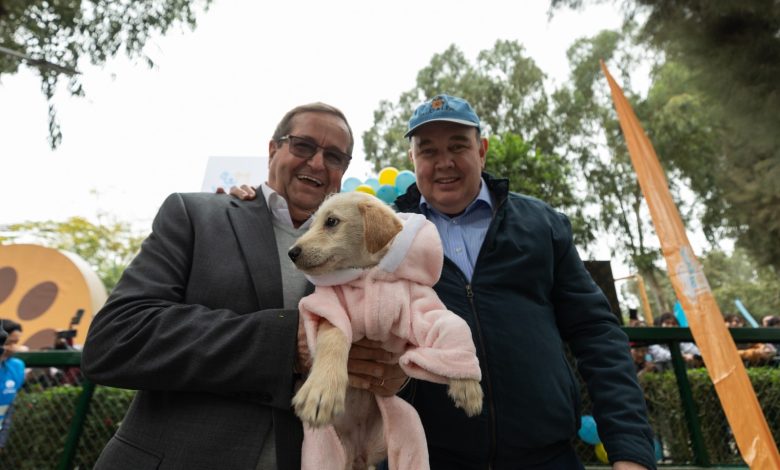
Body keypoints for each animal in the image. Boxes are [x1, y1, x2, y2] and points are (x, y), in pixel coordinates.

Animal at [286, 192, 482, 470]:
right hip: (323, 447)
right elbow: (333, 337)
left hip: (408, 427)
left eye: (331, 221)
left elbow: (451, 328)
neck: (368, 273)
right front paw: (322, 389)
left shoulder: (421, 308)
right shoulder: (331, 308)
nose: (291, 253)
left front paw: (468, 387)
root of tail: (358, 452)